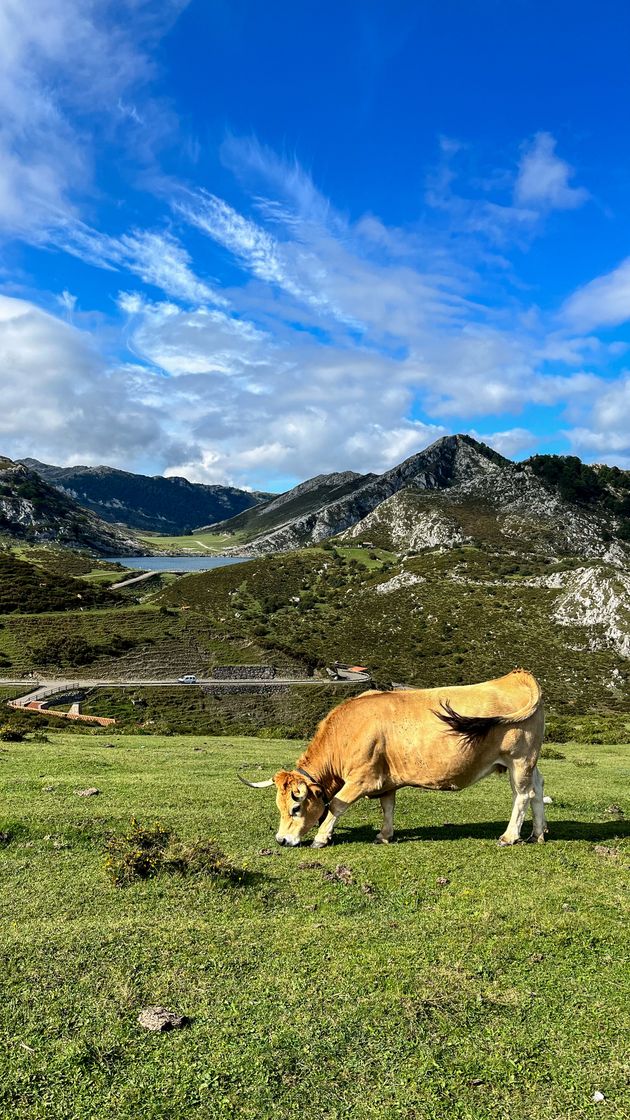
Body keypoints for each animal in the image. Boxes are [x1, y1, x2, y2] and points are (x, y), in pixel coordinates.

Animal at [237, 663, 542, 846]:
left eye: (295, 808)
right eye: (279, 807)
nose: (281, 840)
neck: (348, 730)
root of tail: (517, 676)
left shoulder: (362, 779)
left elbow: (336, 805)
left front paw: (321, 838)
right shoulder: (386, 781)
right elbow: (388, 807)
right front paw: (384, 835)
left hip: (518, 759)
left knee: (522, 795)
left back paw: (510, 836)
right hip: (528, 761)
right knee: (537, 789)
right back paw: (538, 833)